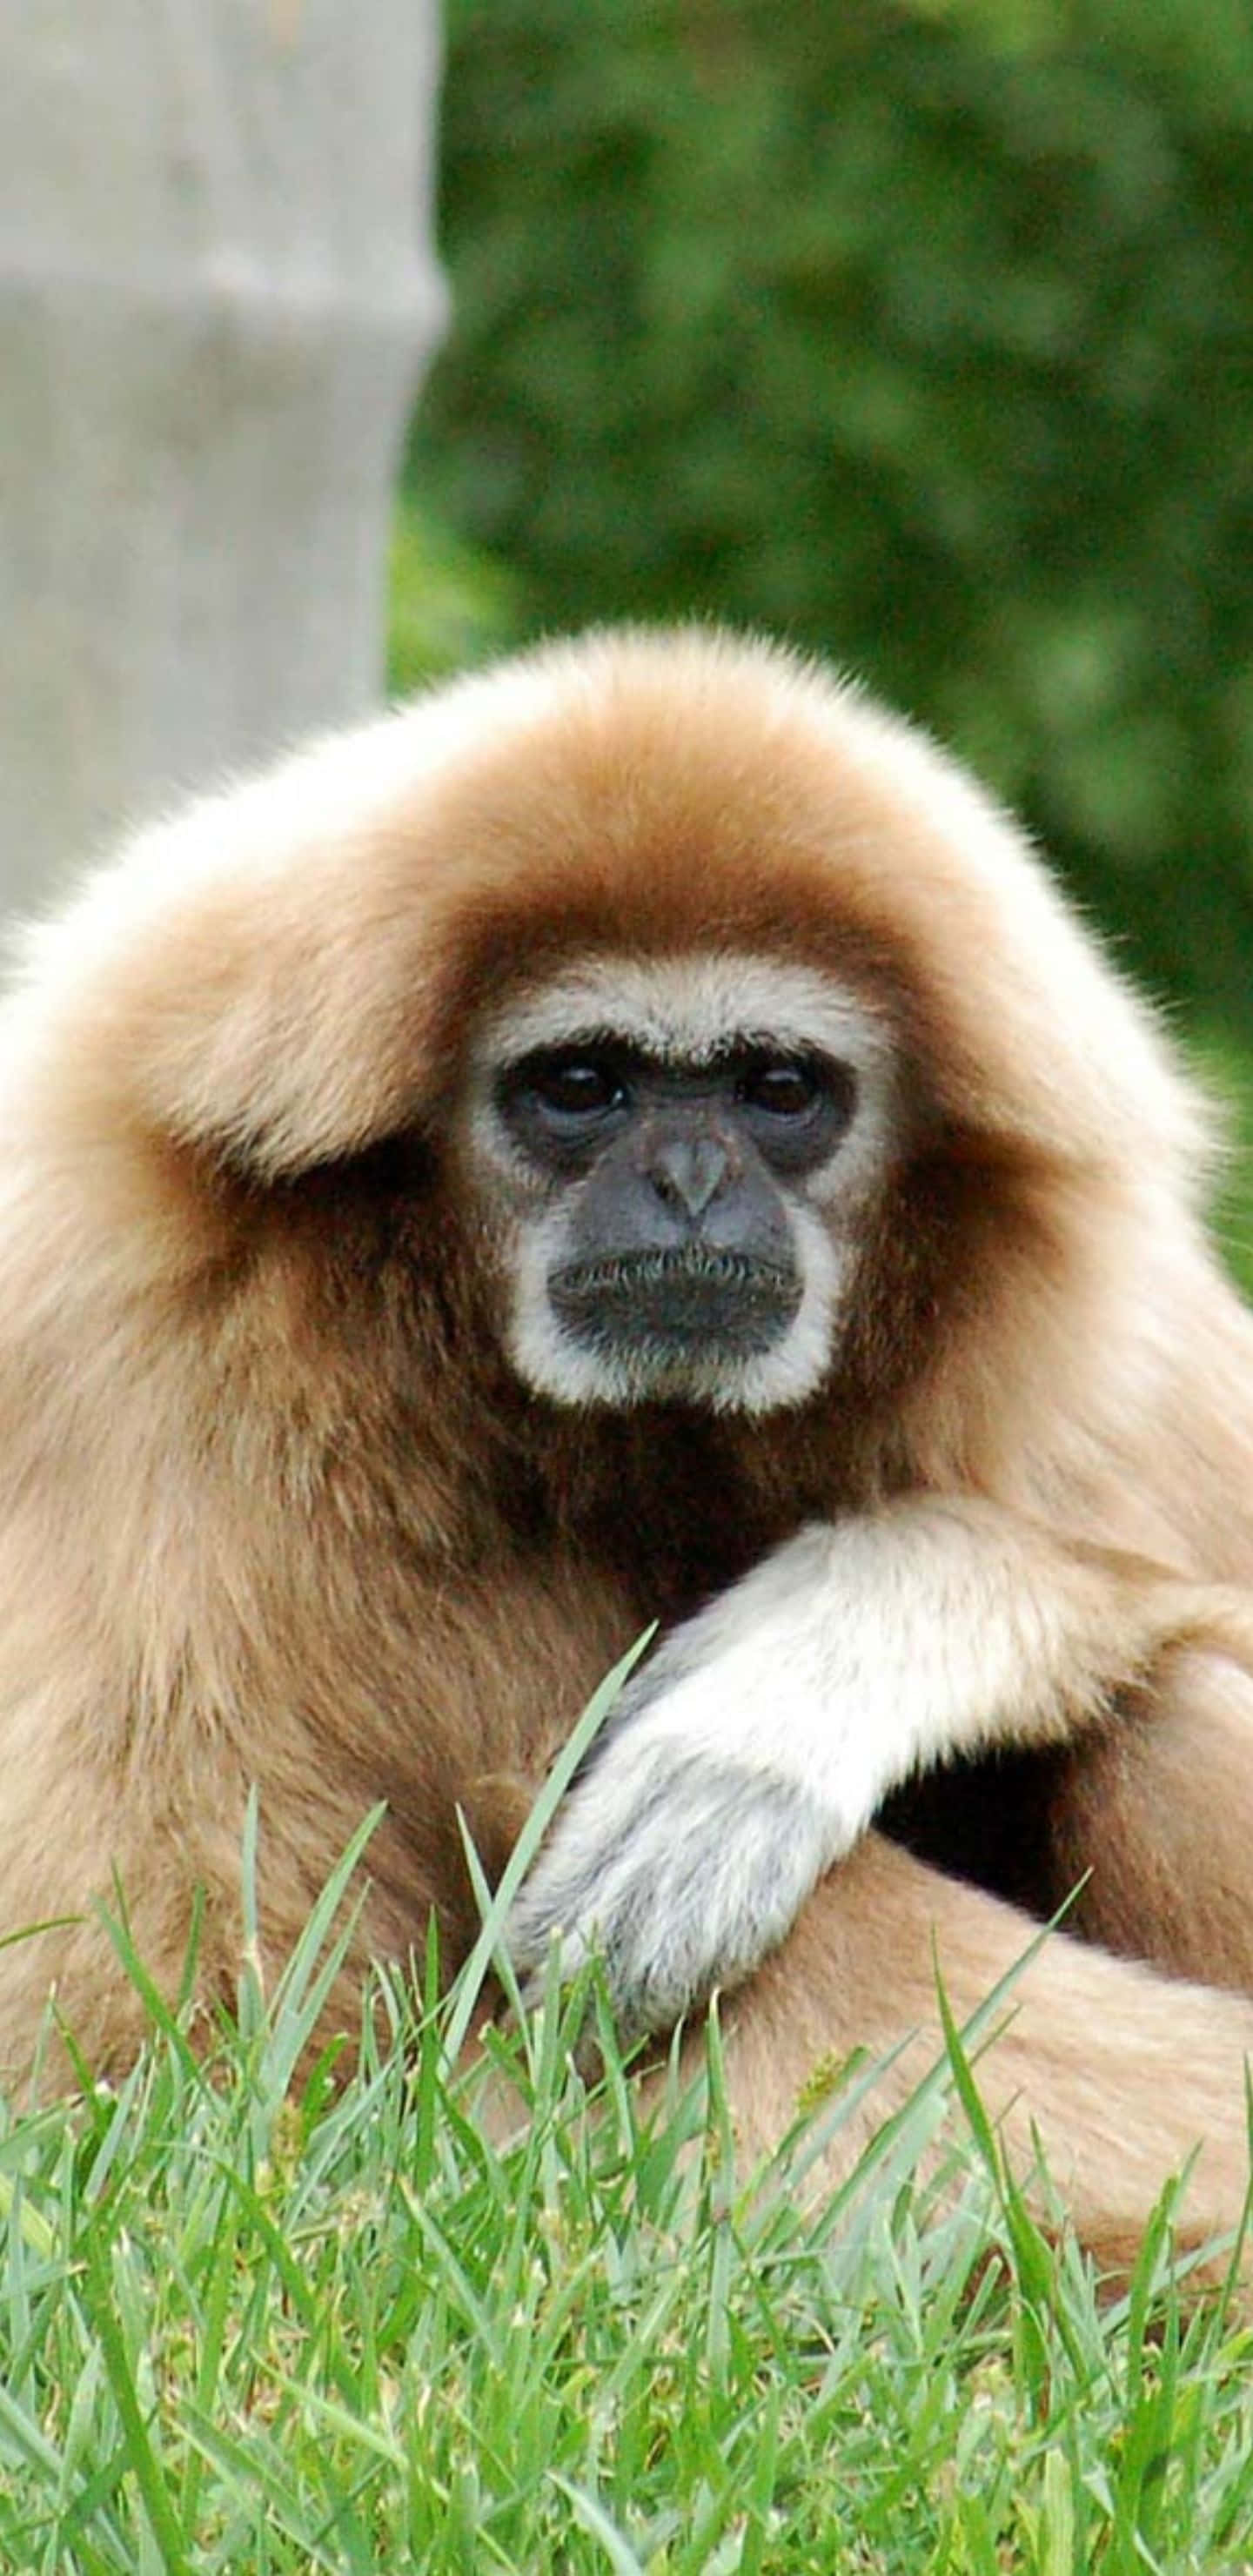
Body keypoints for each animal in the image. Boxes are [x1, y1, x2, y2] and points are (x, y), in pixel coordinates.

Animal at [3, 624, 1253, 2278]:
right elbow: (191, 2112)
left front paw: (792, 1695)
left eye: (779, 1089)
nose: (689, 1179)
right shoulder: (140, 1384)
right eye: (580, 1084)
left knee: (1177, 1708)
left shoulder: (1095, 1342)